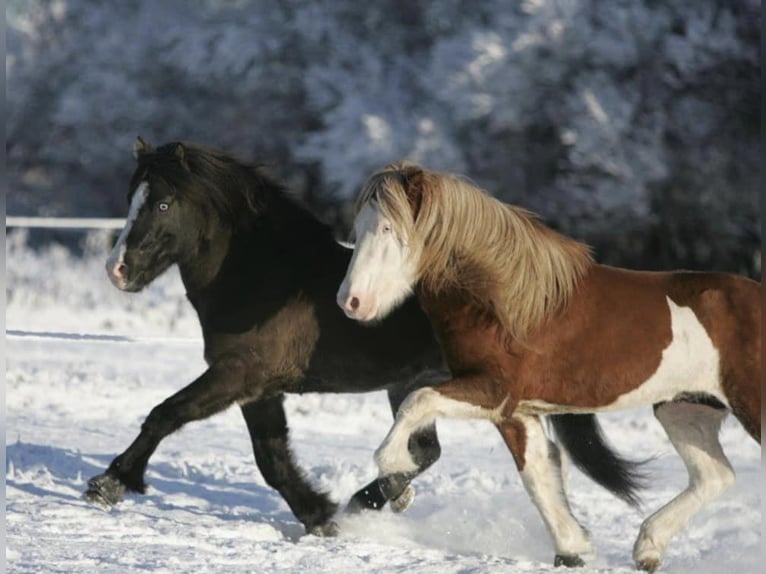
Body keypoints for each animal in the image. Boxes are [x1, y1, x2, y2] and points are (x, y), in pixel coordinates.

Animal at [84, 140, 648, 536]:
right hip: (413, 383)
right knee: (425, 451)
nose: (118, 270)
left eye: (162, 204)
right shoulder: (258, 388)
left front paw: (110, 483)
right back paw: (379, 496)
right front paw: (320, 514)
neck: (263, 276)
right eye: (131, 199)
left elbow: (166, 414)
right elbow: (272, 457)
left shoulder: (237, 375)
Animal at [336, 163, 760, 574]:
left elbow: (416, 400)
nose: (351, 301)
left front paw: (395, 477)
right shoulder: (516, 412)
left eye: (388, 227)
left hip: (748, 410)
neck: (502, 299)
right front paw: (573, 550)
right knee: (715, 475)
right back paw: (647, 549)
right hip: (685, 410)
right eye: (358, 228)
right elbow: (539, 475)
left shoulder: (494, 391)